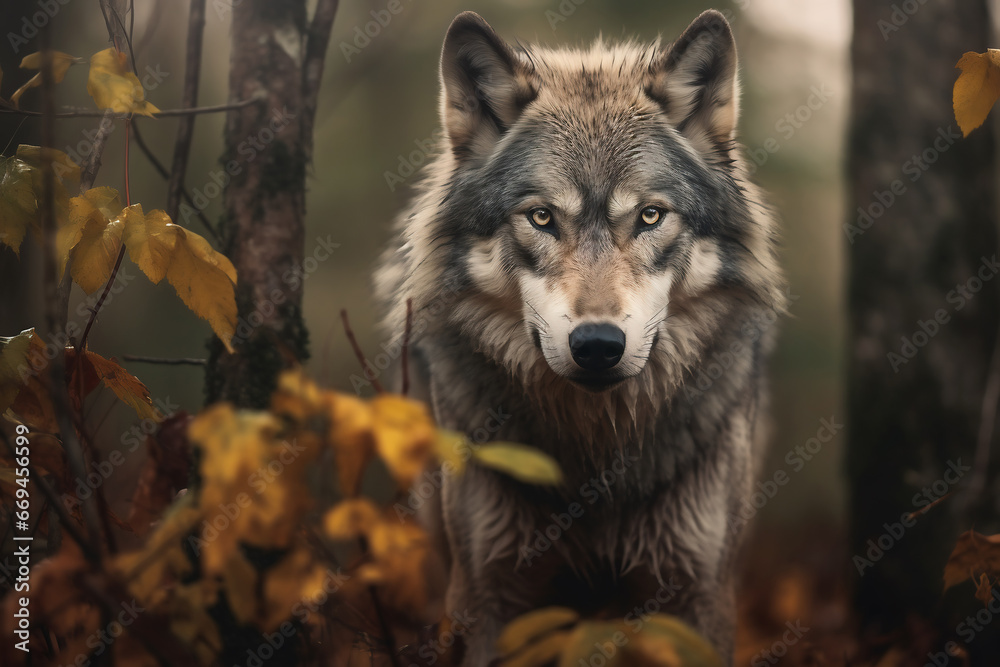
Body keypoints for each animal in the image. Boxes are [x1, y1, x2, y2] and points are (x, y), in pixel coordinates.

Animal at [375, 9, 786, 665]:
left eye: (650, 216)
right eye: (542, 217)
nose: (597, 345)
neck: (596, 455)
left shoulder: (699, 594)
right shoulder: (489, 596)